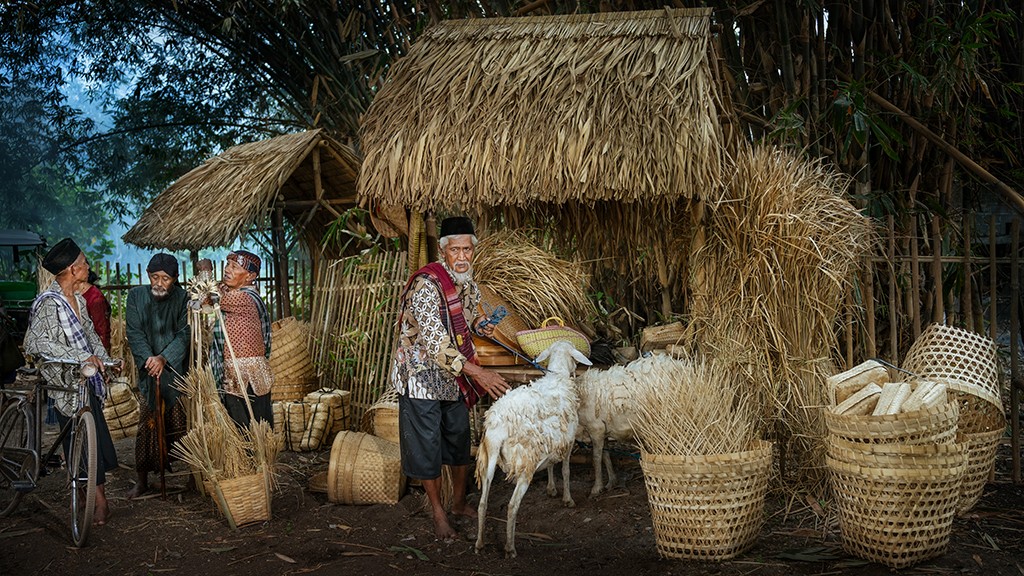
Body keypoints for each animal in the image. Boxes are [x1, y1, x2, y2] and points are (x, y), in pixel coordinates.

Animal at [473, 338, 593, 553]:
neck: (558, 376)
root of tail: (499, 427)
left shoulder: (553, 440)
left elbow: (552, 465)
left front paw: (551, 489)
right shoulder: (569, 441)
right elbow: (566, 471)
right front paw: (568, 499)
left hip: (488, 459)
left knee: (482, 503)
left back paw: (479, 543)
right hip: (525, 462)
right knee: (512, 505)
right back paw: (510, 547)